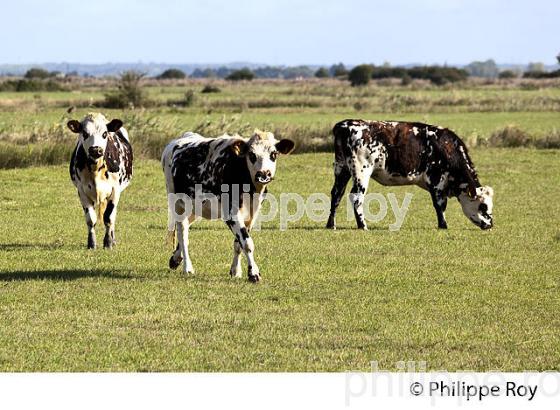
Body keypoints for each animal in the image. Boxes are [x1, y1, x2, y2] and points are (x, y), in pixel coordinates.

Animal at [67, 110, 133, 248]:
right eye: (85, 133)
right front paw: (91, 243)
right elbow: (90, 219)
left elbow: (108, 217)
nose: (95, 149)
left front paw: (108, 242)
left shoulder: (115, 190)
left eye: (104, 133)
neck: (96, 168)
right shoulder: (82, 191)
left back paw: (113, 239)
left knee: (113, 216)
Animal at [161, 131, 296, 282]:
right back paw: (187, 268)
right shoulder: (231, 213)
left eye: (274, 153)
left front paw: (236, 271)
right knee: (182, 232)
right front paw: (254, 273)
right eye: (251, 154)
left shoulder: (252, 214)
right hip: (177, 202)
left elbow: (238, 243)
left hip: (195, 207)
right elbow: (247, 243)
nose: (263, 174)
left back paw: (176, 258)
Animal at [328, 120, 494, 232]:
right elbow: (440, 205)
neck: (446, 147)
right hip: (361, 172)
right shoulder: (436, 180)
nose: (491, 224)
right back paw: (363, 226)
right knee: (356, 197)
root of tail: (345, 125)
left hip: (341, 169)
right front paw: (443, 225)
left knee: (336, 194)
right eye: (483, 206)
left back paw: (331, 224)